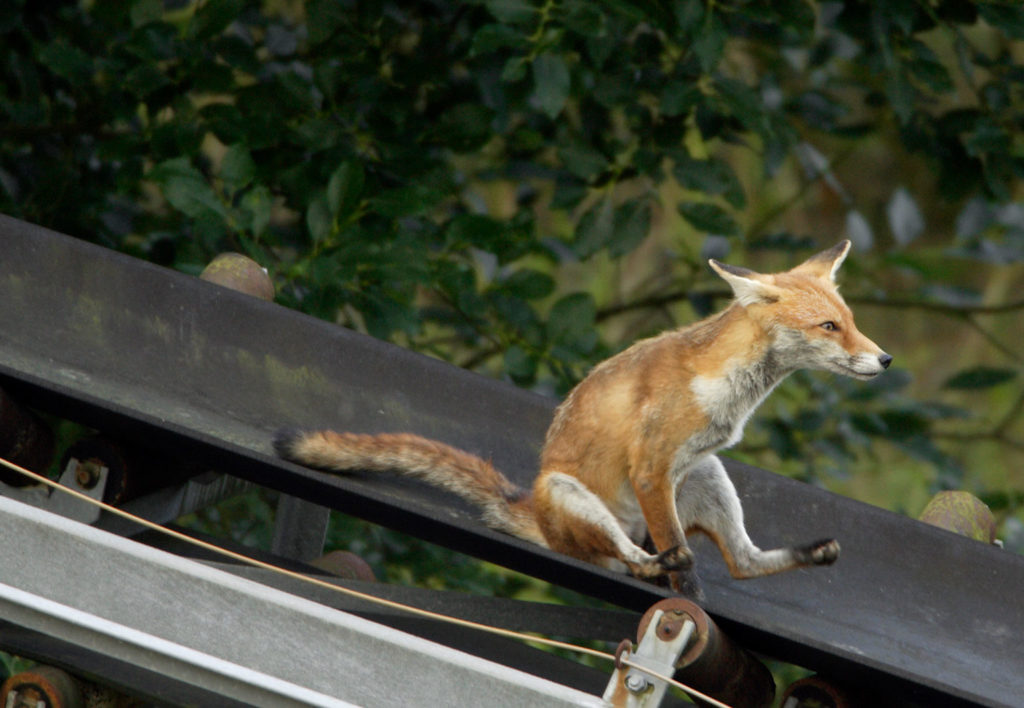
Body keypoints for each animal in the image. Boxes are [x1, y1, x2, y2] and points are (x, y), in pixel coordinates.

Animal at [276, 240, 892, 594]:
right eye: (829, 328)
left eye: (852, 321)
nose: (885, 360)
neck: (726, 387)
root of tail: (533, 513)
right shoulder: (651, 468)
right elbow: (682, 557)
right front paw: (685, 592)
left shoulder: (680, 469)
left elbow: (702, 553)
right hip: (576, 496)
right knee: (626, 559)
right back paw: (649, 567)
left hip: (706, 476)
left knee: (742, 562)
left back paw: (807, 553)